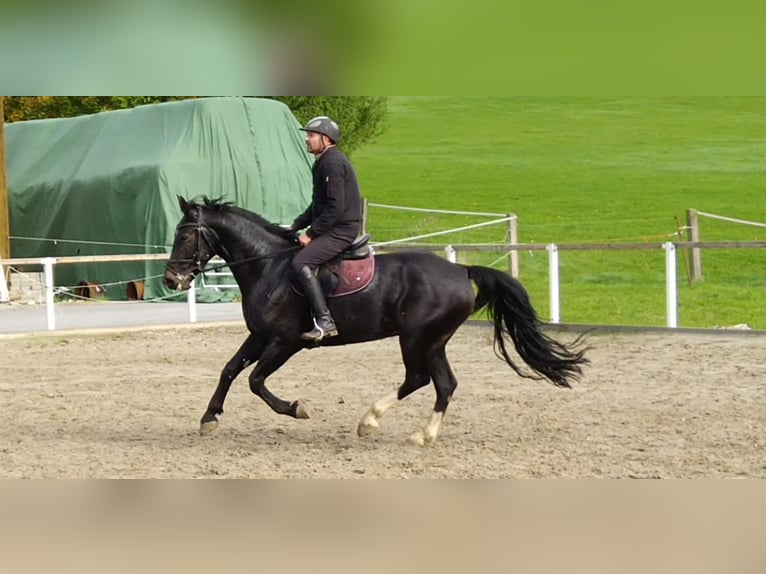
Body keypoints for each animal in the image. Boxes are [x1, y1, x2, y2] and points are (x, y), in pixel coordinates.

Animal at [165, 197, 592, 446]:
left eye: (185, 235)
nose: (171, 280)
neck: (270, 267)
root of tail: (460, 270)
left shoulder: (287, 341)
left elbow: (255, 381)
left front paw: (297, 408)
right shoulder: (259, 336)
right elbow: (229, 370)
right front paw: (208, 418)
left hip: (415, 337)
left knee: (418, 378)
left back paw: (370, 421)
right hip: (434, 340)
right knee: (444, 383)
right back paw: (423, 435)